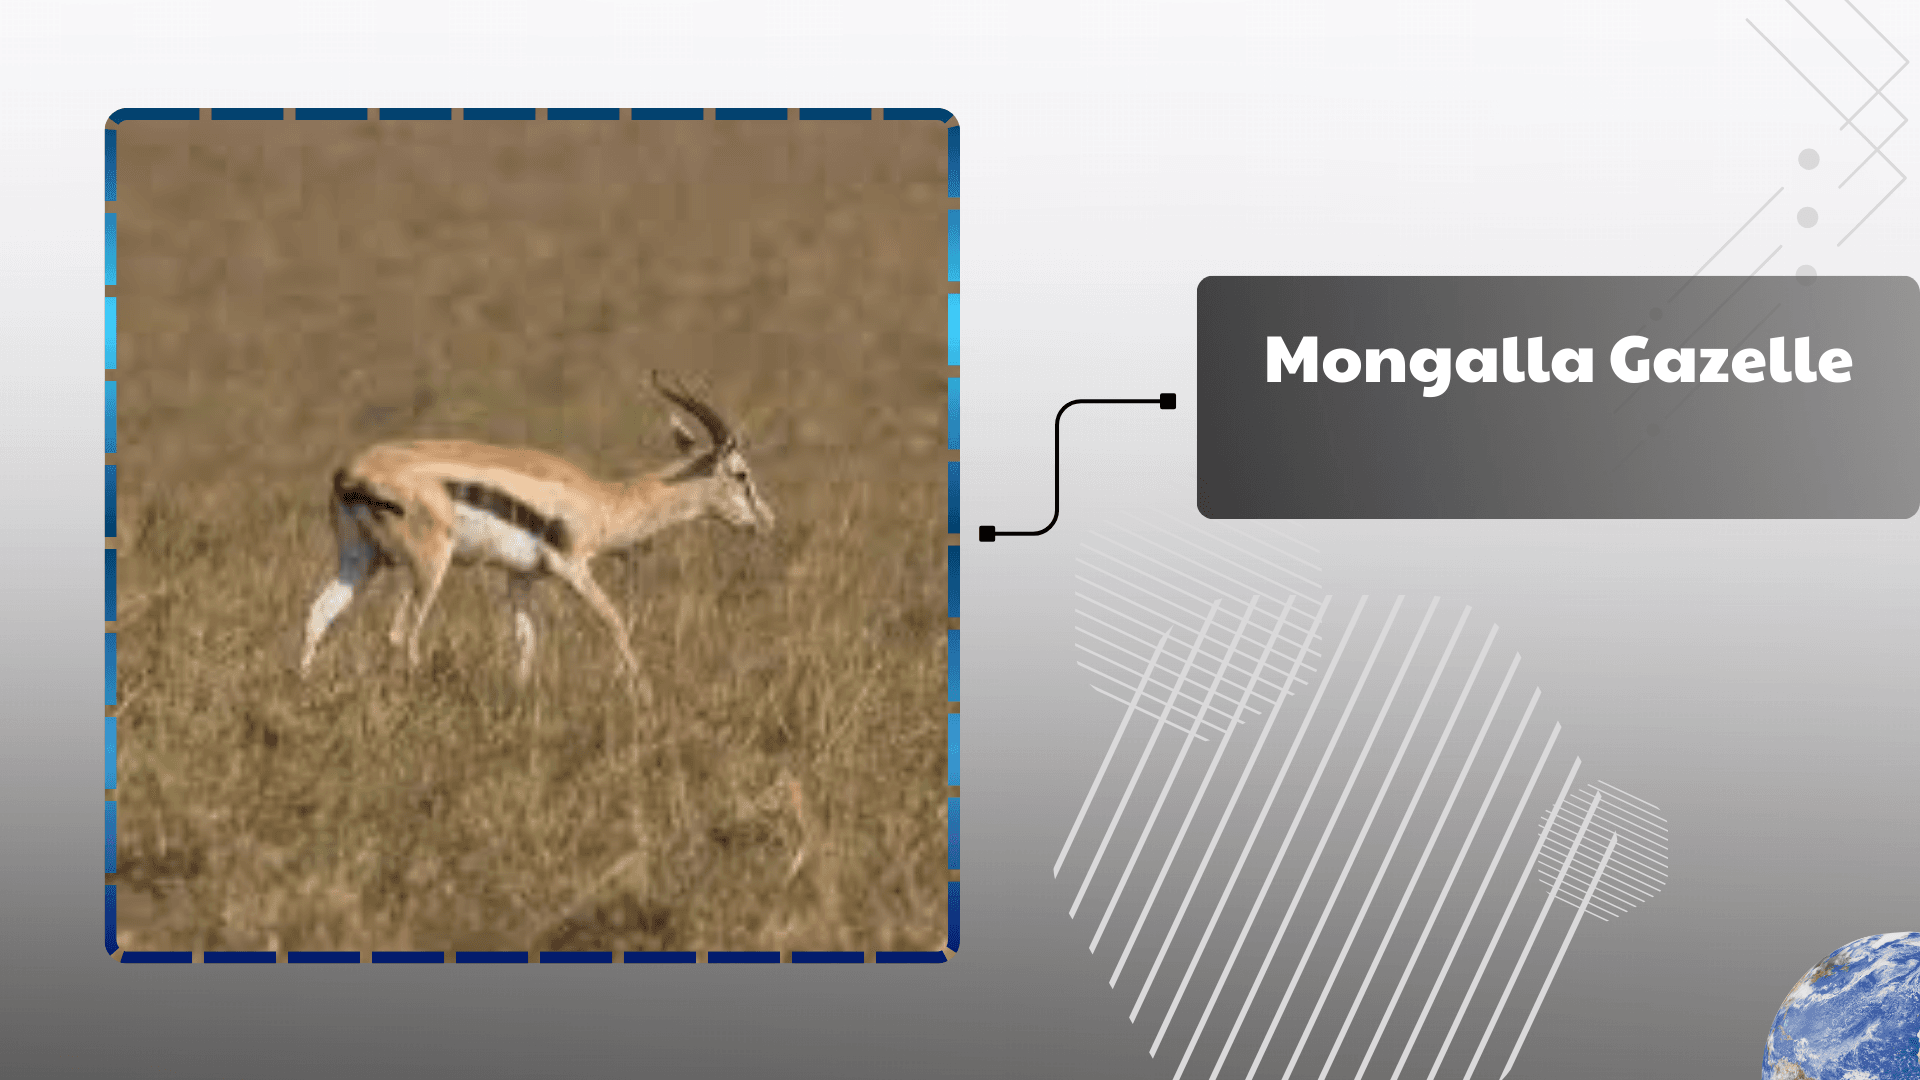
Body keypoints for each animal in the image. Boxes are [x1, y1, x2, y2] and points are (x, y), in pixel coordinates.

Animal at [298, 372, 774, 698]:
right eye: (741, 474)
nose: (766, 522)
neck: (605, 500)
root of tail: (352, 472)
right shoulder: (573, 567)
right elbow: (615, 621)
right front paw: (644, 694)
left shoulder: (521, 577)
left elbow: (526, 640)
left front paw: (520, 696)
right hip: (429, 565)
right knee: (402, 631)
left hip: (360, 559)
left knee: (320, 612)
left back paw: (302, 686)